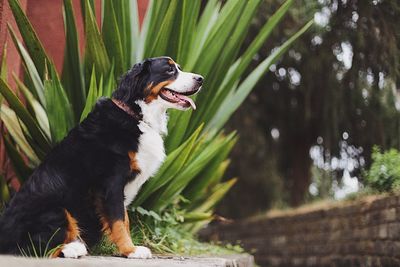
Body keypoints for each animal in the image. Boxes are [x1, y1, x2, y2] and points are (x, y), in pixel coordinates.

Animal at [0, 57, 202, 260]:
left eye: (179, 68)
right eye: (169, 70)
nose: (200, 79)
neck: (136, 115)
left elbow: (124, 220)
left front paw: (127, 248)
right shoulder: (111, 183)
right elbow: (118, 220)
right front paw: (131, 250)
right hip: (55, 209)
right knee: (31, 247)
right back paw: (72, 248)